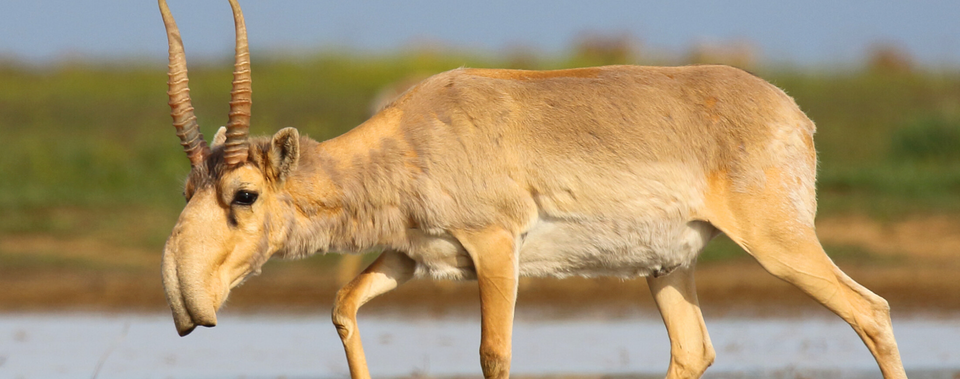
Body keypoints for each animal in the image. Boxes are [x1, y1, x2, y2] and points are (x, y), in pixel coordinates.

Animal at [158, 1, 908, 378]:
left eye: (245, 194)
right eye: (189, 184)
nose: (186, 299)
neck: (415, 133)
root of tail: (794, 114)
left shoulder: (496, 248)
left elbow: (494, 354)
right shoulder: (411, 256)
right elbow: (343, 306)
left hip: (780, 245)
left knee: (871, 310)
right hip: (667, 266)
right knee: (693, 348)